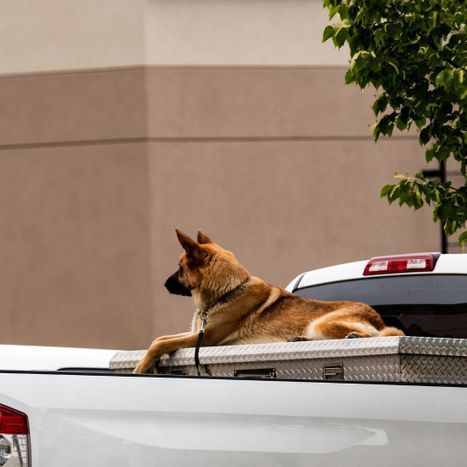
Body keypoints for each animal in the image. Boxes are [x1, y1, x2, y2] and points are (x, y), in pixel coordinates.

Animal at [133, 229, 406, 374]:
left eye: (180, 267)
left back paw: (355, 336)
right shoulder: (196, 333)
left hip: (322, 323)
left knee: (380, 335)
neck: (227, 291)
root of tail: (377, 318)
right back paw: (300, 340)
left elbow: (159, 343)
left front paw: (141, 367)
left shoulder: (206, 337)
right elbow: (160, 338)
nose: (163, 284)